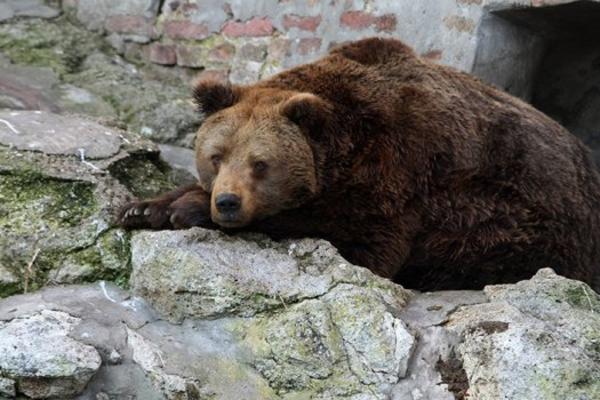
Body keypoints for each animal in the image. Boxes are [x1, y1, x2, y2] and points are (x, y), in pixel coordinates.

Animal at [118, 38, 600, 290]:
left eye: (260, 164)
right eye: (215, 157)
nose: (228, 202)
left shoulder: (400, 175)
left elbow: (356, 240)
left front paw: (186, 208)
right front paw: (145, 206)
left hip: (525, 222)